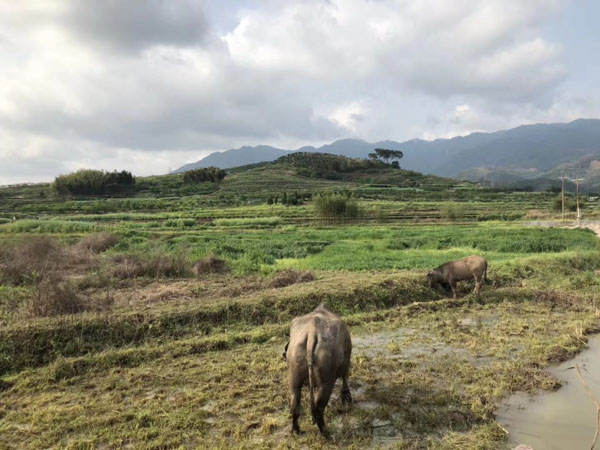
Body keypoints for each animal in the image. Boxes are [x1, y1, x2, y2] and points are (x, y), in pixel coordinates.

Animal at [284, 304, 352, 438]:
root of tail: (312, 331)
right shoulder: (346, 359)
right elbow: (345, 377)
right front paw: (346, 396)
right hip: (326, 381)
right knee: (319, 407)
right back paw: (325, 433)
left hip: (294, 373)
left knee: (295, 403)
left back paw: (296, 430)